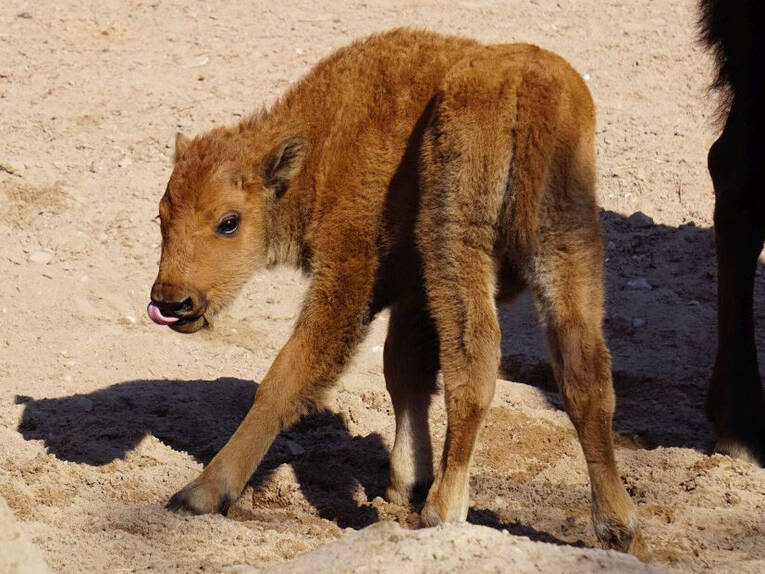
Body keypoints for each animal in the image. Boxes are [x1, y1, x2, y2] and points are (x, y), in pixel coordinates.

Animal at [148, 29, 641, 553]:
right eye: (161, 217)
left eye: (229, 221)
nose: (171, 301)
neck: (323, 145)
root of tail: (529, 83)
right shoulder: (414, 295)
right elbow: (403, 371)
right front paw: (407, 481)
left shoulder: (352, 274)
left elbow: (290, 376)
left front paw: (200, 492)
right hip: (568, 239)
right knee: (584, 373)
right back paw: (617, 525)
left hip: (458, 235)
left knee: (474, 364)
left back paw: (444, 510)